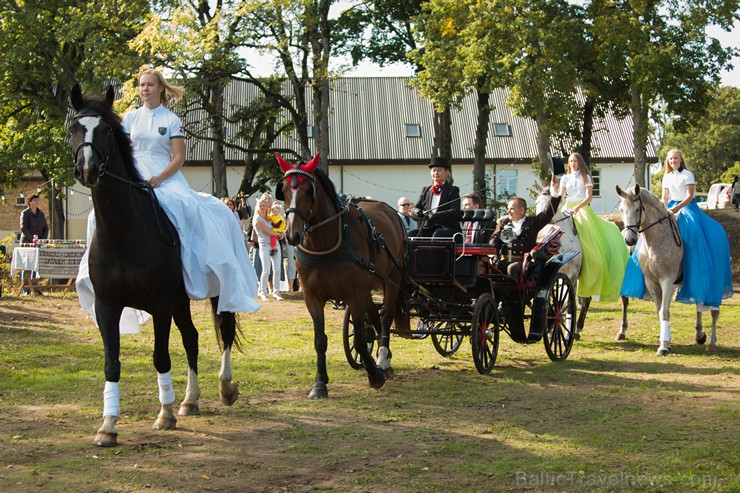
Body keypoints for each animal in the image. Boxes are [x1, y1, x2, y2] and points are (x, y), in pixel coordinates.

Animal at [70, 84, 240, 446]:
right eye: (75, 127)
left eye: (105, 131)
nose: (87, 170)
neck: (125, 231)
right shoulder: (107, 306)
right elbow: (111, 363)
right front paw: (108, 425)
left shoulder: (160, 304)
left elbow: (160, 356)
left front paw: (165, 414)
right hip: (181, 301)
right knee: (192, 338)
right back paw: (190, 400)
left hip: (220, 292)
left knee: (225, 332)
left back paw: (225, 388)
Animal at [276, 152, 408, 398]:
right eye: (285, 191)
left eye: (308, 190)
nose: (292, 235)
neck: (325, 244)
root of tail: (391, 212)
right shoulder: (313, 298)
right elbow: (321, 340)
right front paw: (319, 383)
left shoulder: (354, 295)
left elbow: (359, 338)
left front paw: (374, 374)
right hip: (368, 286)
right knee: (374, 319)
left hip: (392, 278)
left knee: (385, 317)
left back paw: (383, 360)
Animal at [536, 181, 628, 338]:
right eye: (537, 202)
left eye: (551, 204)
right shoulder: (556, 276)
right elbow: (554, 300)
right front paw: (552, 329)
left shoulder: (572, 276)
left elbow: (568, 302)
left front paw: (566, 333)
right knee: (586, 300)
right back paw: (578, 329)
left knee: (624, 300)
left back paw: (621, 330)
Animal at [616, 184, 720, 354]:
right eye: (621, 209)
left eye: (638, 209)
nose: (629, 240)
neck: (656, 242)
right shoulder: (652, 282)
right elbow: (660, 311)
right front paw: (667, 341)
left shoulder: (667, 281)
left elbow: (664, 311)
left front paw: (664, 346)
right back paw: (699, 335)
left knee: (714, 311)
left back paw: (711, 342)